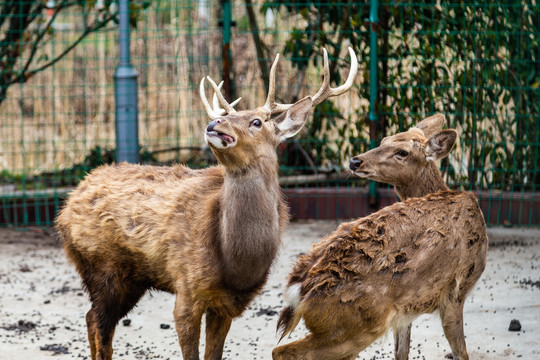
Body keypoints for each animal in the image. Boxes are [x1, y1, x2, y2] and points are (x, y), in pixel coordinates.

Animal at [56, 48, 358, 360]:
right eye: (226, 115)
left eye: (257, 121)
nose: (214, 123)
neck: (234, 262)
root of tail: (66, 207)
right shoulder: (187, 287)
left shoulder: (229, 304)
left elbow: (214, 353)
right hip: (101, 266)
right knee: (99, 323)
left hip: (130, 278)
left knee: (93, 319)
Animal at [274, 116, 490, 360]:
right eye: (384, 140)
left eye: (402, 151)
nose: (355, 161)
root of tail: (297, 289)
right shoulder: (455, 290)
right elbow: (461, 352)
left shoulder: (406, 310)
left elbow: (401, 352)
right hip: (356, 324)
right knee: (282, 351)